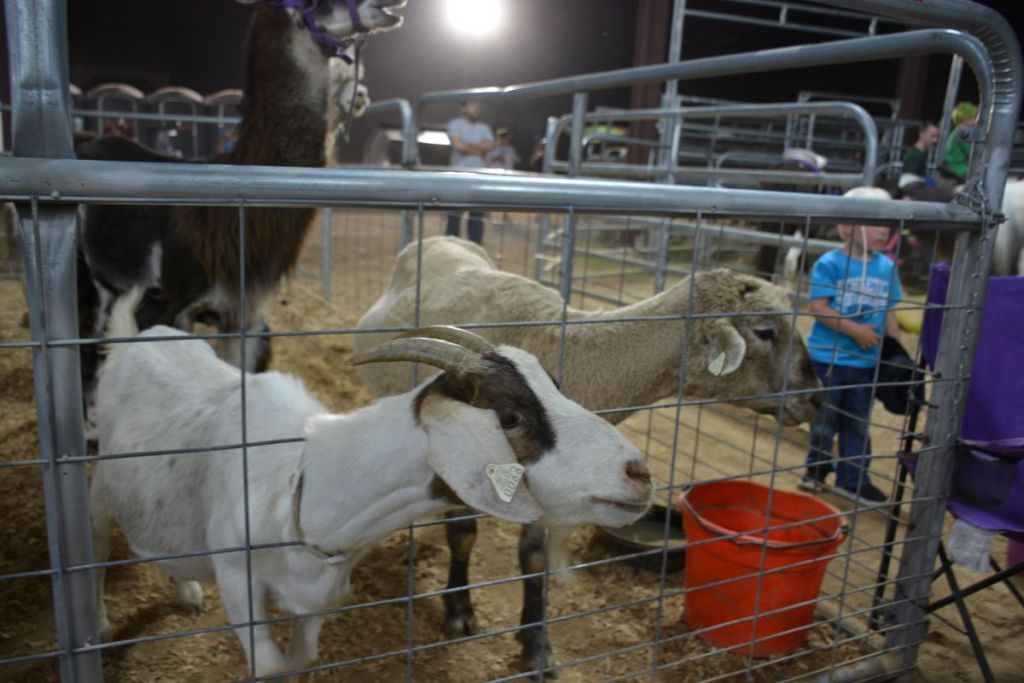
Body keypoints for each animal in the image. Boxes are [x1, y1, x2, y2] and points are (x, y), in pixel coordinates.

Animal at [91, 295, 654, 680]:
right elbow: (270, 668)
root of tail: (139, 336)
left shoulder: (319, 597)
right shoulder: (237, 579)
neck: (306, 482)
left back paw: (185, 591)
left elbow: (302, 660)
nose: (639, 473)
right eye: (510, 416)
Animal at [353, 235, 823, 673]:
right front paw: (459, 611)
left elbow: (535, 556)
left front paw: (536, 646)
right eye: (764, 331)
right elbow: (464, 535)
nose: (815, 398)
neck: (574, 350)